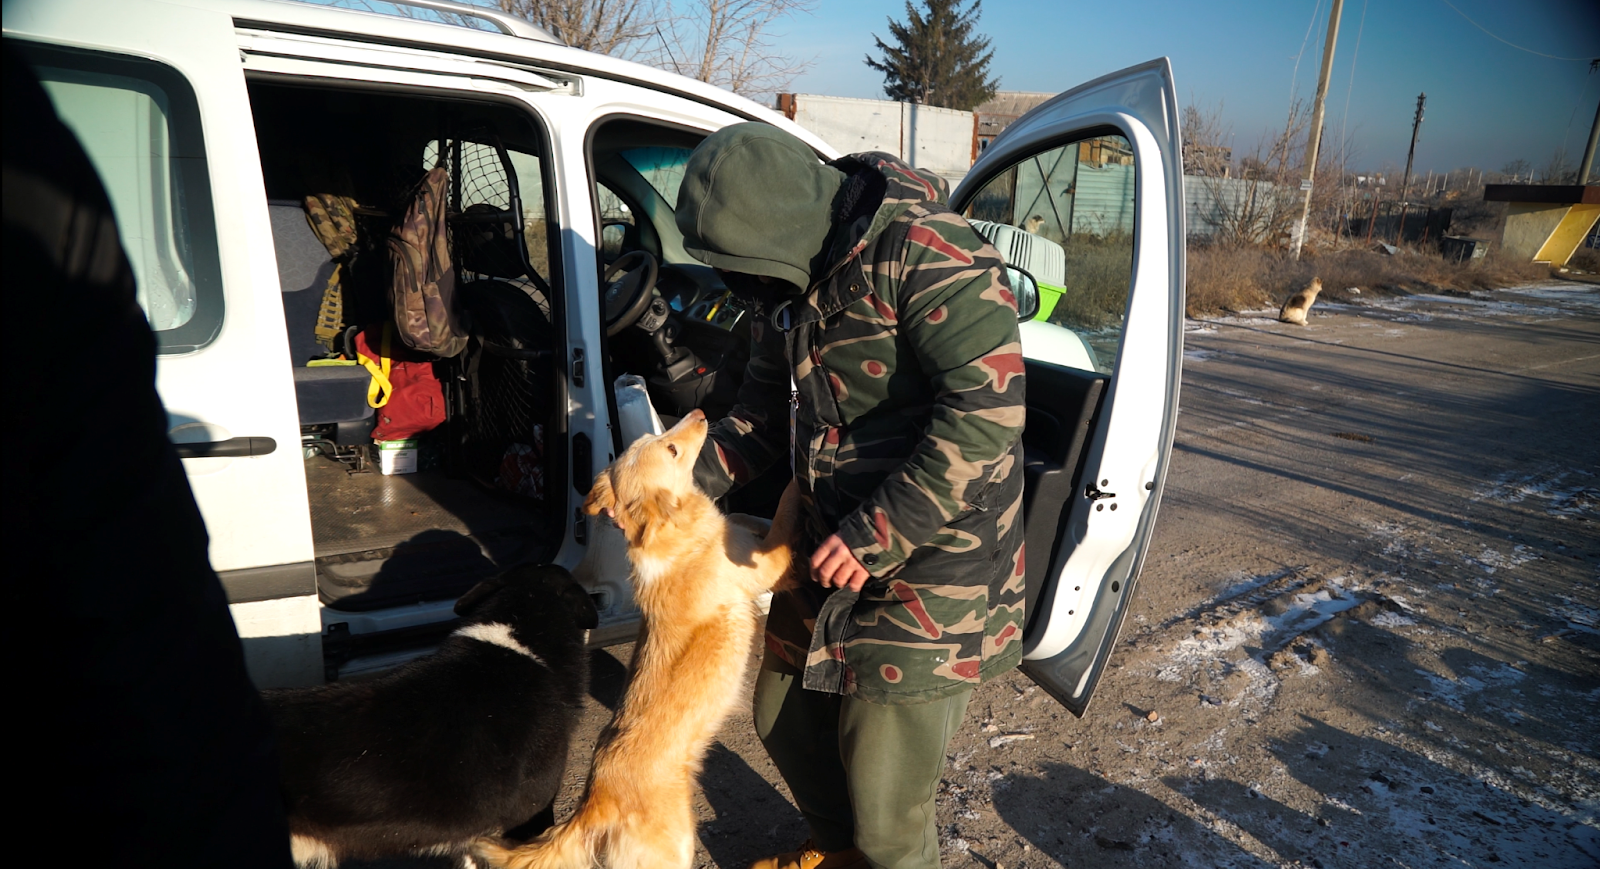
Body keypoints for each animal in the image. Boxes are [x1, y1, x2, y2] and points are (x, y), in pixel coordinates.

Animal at [473, 409, 800, 869]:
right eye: (672, 448)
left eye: (656, 437)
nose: (700, 413)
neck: (671, 533)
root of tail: (591, 805)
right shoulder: (768, 569)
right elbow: (784, 518)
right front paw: (797, 485)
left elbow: (743, 519)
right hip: (673, 850)